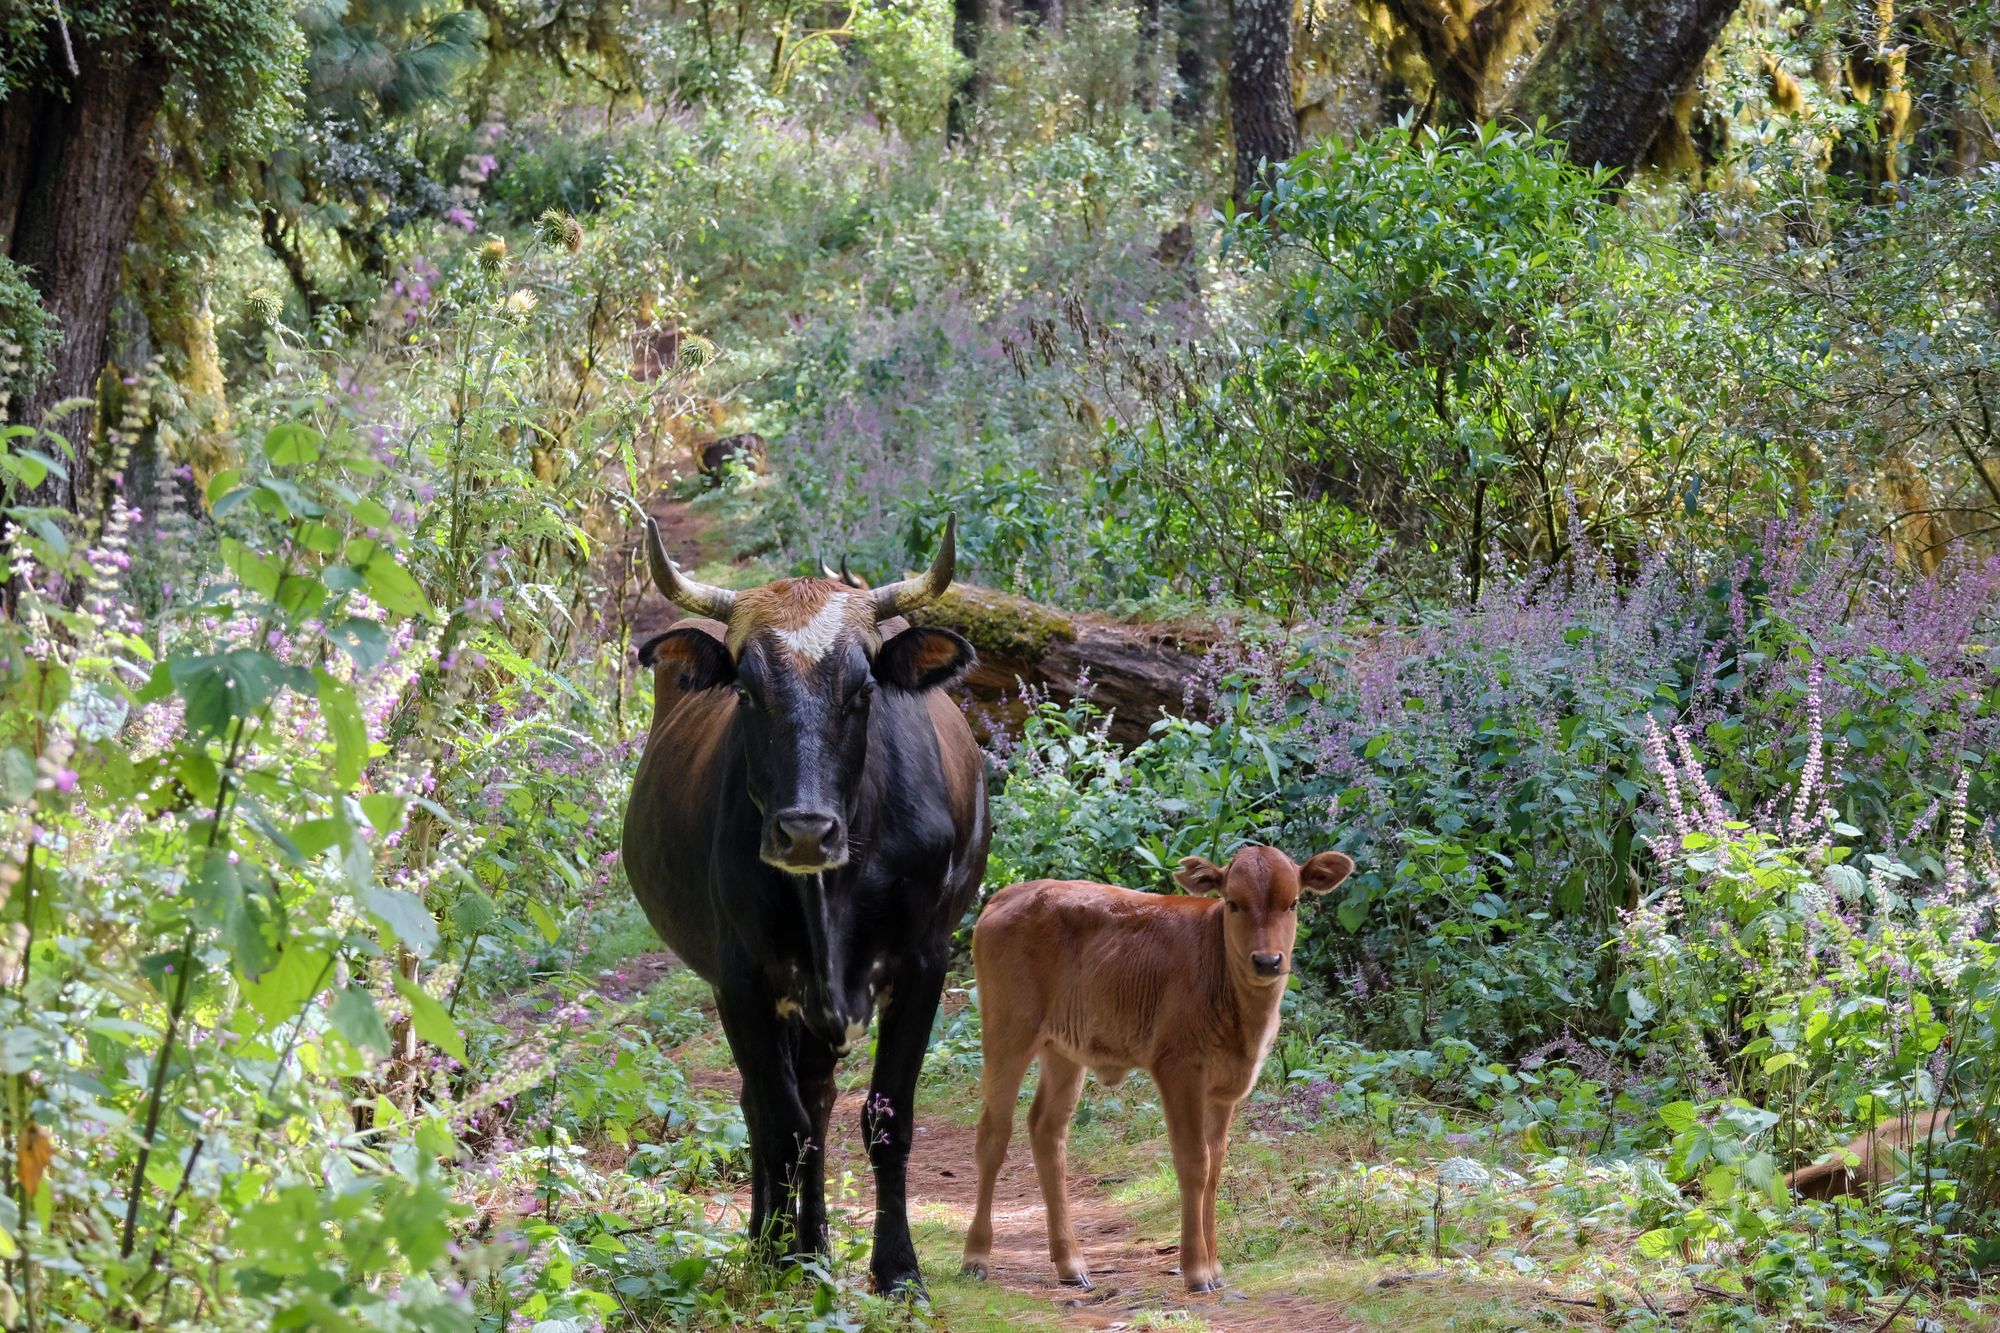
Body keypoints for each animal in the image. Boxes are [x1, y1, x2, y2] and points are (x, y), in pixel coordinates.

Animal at [624, 520, 992, 1288]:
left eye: (863, 689)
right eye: (746, 692)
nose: (804, 830)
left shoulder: (923, 965)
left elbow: (886, 1120)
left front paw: (898, 1271)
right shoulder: (741, 979)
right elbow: (780, 1121)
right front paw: (777, 1260)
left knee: (819, 1098)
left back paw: (814, 1246)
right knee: (776, 1107)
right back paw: (786, 1246)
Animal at [956, 840, 1360, 1288]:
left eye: (1293, 903)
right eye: (1233, 902)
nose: (1268, 961)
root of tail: (1005, 895)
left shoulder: (1224, 1089)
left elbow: (1216, 1165)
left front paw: (1216, 1267)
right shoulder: (1179, 1069)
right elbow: (1194, 1161)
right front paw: (1197, 1269)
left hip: (1063, 1050)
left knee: (1047, 1130)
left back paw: (1071, 1264)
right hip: (1007, 1029)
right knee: (993, 1132)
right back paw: (976, 1258)